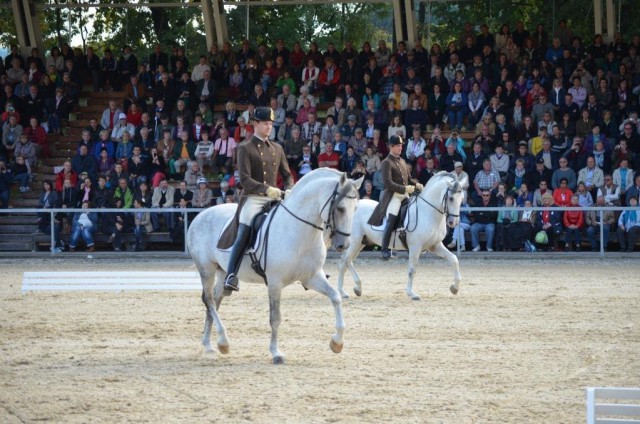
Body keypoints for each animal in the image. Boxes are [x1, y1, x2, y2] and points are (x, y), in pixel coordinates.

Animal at [188, 169, 362, 364]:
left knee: (215, 301)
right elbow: (275, 318)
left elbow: (336, 297)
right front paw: (276, 353)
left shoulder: (312, 277)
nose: (343, 245)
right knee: (209, 300)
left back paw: (210, 345)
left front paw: (337, 343)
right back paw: (223, 341)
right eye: (340, 208)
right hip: (207, 269)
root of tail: (200, 216)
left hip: (222, 270)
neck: (299, 231)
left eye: (355, 209)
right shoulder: (274, 283)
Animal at [338, 172, 462, 302]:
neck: (427, 212)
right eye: (451, 198)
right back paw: (357, 287)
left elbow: (454, 259)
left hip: (360, 243)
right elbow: (412, 270)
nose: (453, 222)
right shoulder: (415, 247)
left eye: (462, 198)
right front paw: (412, 294)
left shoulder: (434, 246)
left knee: (343, 263)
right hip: (354, 242)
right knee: (347, 260)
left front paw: (454, 288)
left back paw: (343, 292)